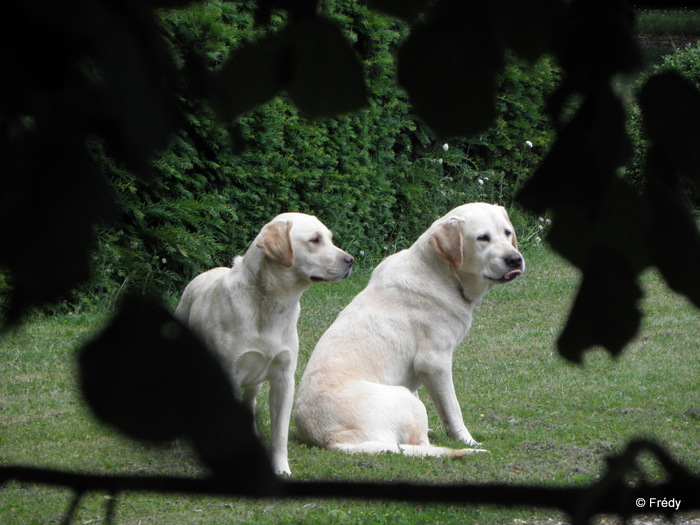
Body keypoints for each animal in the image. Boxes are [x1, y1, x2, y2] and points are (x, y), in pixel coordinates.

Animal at [173, 211, 352, 472]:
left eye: (329, 238)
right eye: (315, 240)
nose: (350, 260)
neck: (270, 306)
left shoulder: (284, 380)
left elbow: (280, 435)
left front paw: (281, 469)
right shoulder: (229, 375)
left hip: (254, 380)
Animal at [292, 203, 524, 456]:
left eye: (507, 233)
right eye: (483, 238)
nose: (515, 259)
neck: (441, 274)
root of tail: (333, 441)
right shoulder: (435, 364)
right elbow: (453, 410)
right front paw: (467, 439)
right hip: (404, 398)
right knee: (421, 444)